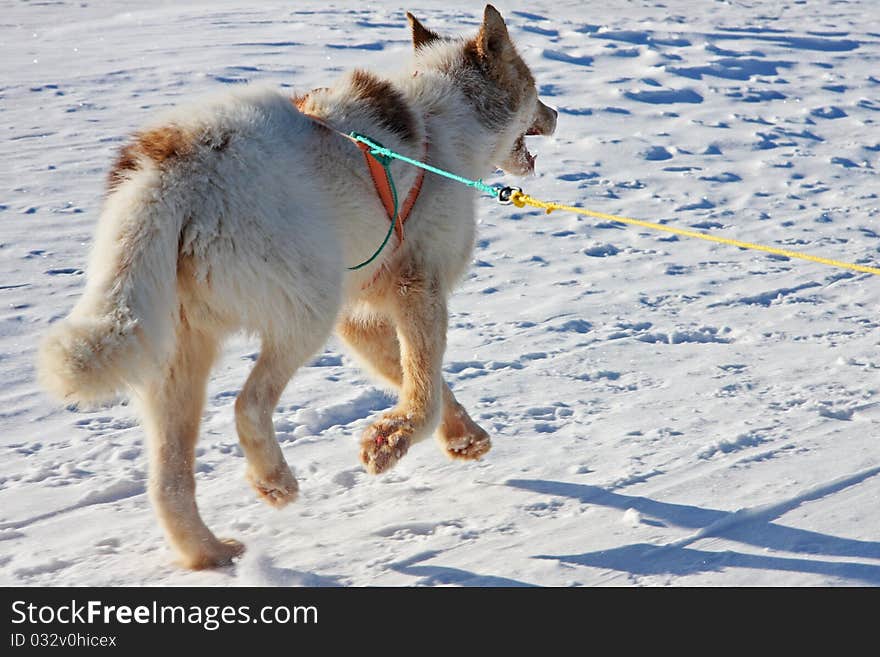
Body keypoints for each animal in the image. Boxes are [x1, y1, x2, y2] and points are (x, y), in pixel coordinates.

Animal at [37, 5, 556, 568]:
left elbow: (427, 382)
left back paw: (209, 552)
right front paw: (393, 440)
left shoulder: (361, 316)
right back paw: (274, 480)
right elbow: (423, 388)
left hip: (178, 358)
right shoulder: (417, 291)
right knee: (248, 406)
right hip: (309, 311)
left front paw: (462, 438)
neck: (446, 117)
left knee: (168, 483)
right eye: (534, 87)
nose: (555, 113)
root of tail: (176, 169)